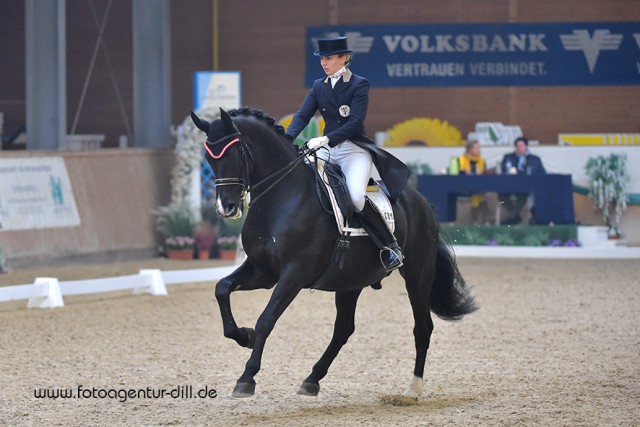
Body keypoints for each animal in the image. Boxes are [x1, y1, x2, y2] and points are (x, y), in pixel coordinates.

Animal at [190, 108, 476, 400]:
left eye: (234, 154)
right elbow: (222, 288)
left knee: (422, 327)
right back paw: (312, 379)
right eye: (208, 159)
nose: (226, 208)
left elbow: (266, 319)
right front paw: (243, 336)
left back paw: (413, 388)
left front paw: (247, 378)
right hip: (350, 281)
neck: (282, 199)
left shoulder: (294, 274)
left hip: (417, 273)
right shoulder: (262, 270)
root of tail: (420, 201)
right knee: (343, 330)